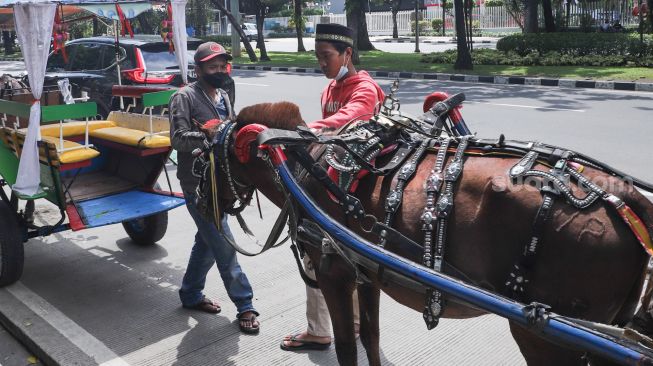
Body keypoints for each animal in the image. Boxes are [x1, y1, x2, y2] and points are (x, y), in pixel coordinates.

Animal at [201, 101, 652, 366]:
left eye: (202, 157)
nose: (203, 208)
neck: (301, 162)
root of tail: (623, 195)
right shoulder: (366, 273)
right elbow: (370, 337)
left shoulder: (334, 273)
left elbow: (347, 347)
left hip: (545, 336)